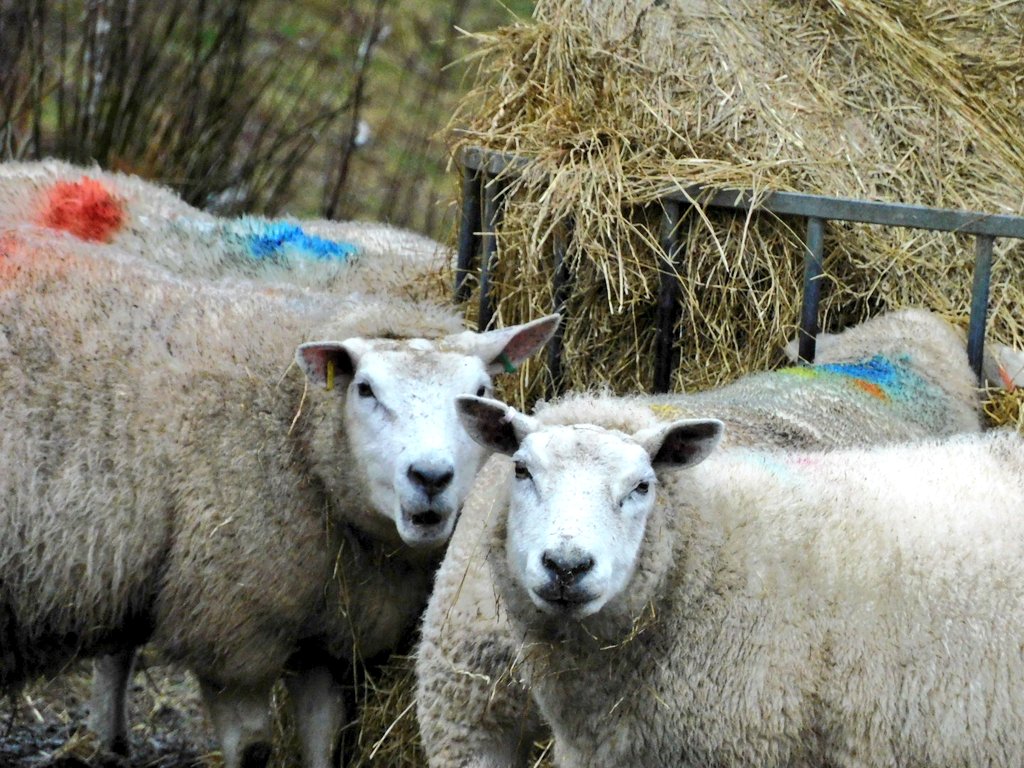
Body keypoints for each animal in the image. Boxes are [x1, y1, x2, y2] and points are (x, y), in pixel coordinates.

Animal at [0, 226, 558, 768]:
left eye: (480, 391)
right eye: (364, 390)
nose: (430, 476)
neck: (297, 436)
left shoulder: (324, 639)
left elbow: (324, 744)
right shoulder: (231, 627)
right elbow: (252, 749)